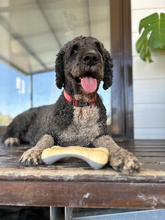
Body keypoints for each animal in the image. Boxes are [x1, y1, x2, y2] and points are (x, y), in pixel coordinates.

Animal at [2, 36, 139, 174]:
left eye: (98, 48)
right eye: (74, 50)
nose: (91, 57)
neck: (81, 105)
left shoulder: (99, 134)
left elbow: (110, 143)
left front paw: (123, 156)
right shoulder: (45, 131)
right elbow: (46, 139)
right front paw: (34, 151)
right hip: (23, 120)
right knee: (6, 134)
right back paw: (12, 140)